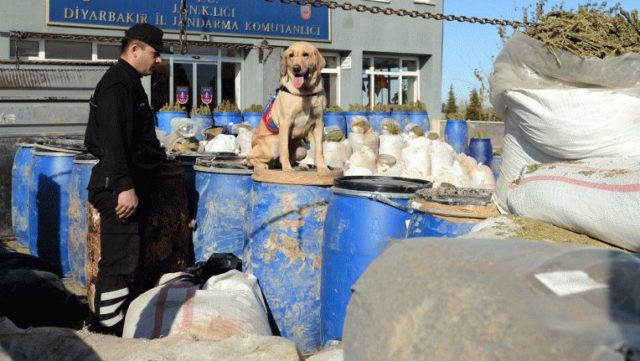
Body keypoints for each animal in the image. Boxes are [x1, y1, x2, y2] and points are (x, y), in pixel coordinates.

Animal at [248, 40, 330, 172]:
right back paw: (262, 165)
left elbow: (319, 150)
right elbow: (284, 150)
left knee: (282, 161)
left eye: (305, 54)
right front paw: (287, 169)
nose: (296, 68)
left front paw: (323, 168)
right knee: (249, 157)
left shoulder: (319, 122)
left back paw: (299, 165)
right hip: (273, 144)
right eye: (291, 55)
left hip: (301, 149)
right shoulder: (286, 122)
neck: (305, 93)